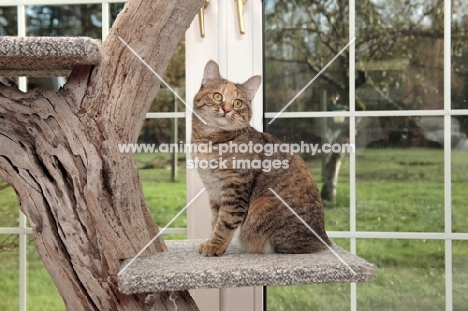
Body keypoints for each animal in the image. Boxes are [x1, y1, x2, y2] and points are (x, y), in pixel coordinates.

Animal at [192, 59, 330, 258]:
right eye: (218, 96)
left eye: (238, 102)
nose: (226, 109)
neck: (212, 140)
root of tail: (324, 242)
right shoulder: (213, 191)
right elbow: (215, 219)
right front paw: (210, 240)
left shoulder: (235, 190)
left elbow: (224, 222)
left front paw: (215, 245)